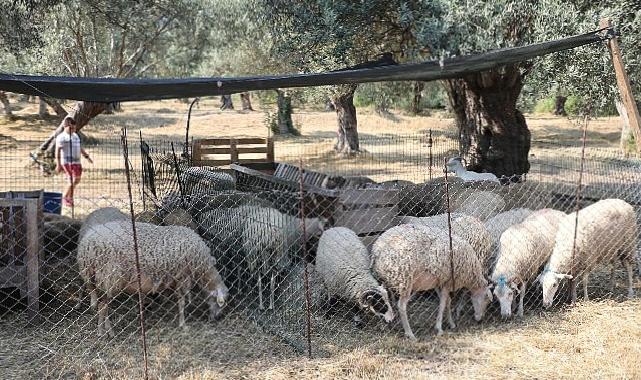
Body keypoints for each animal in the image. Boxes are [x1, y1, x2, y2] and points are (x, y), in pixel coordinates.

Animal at [77, 221, 229, 336]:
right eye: (219, 303)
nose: (217, 318)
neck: (202, 268)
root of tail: (86, 246)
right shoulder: (182, 278)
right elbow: (182, 302)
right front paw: (183, 324)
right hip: (110, 277)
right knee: (103, 307)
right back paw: (104, 332)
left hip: (99, 280)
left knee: (103, 306)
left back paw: (107, 330)